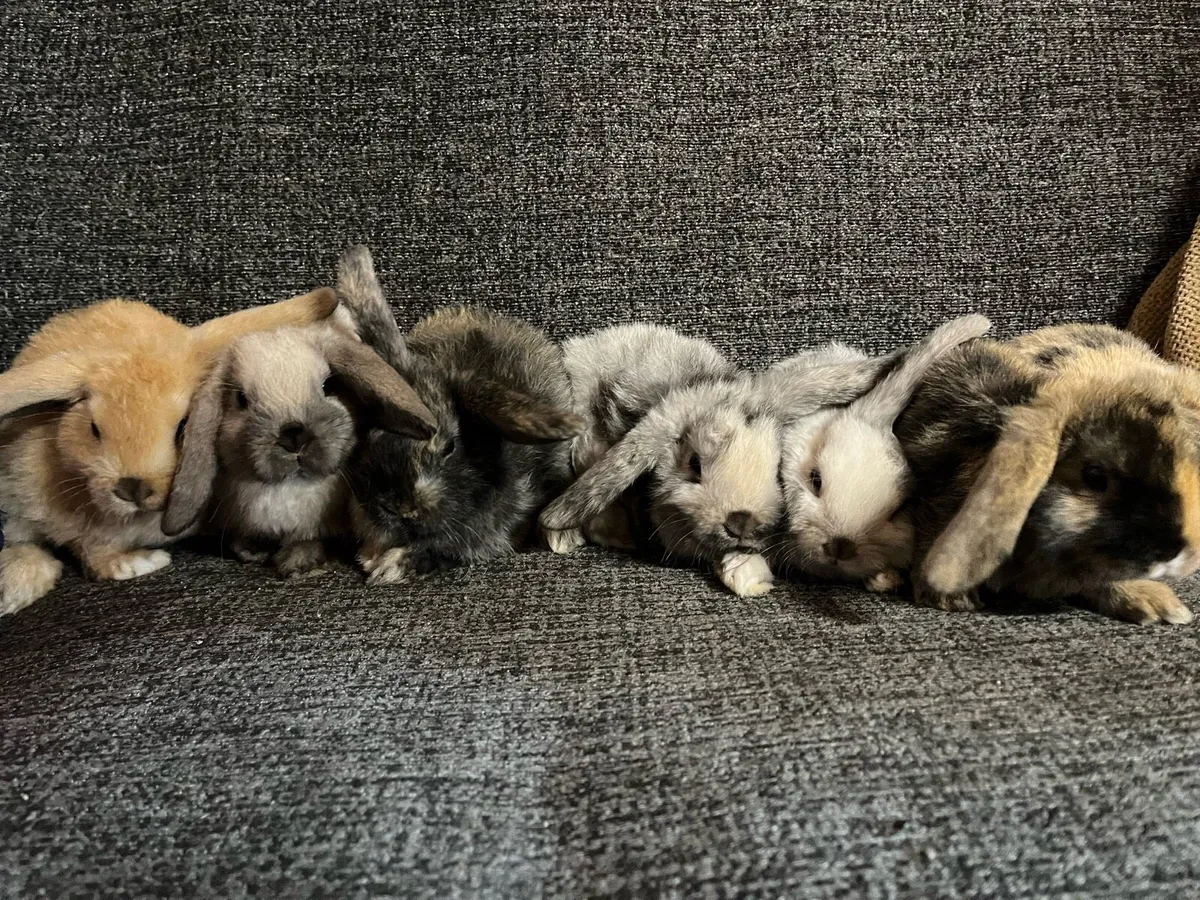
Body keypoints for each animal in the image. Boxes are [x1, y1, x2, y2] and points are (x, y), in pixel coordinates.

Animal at [160, 320, 437, 577]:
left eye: (329, 386)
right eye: (241, 399)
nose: (293, 434)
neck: (290, 489)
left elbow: (312, 541)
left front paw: (299, 562)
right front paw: (251, 551)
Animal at [335, 244, 584, 585]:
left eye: (450, 446)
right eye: (373, 432)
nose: (399, 508)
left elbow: (437, 549)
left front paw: (386, 566)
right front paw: (373, 555)